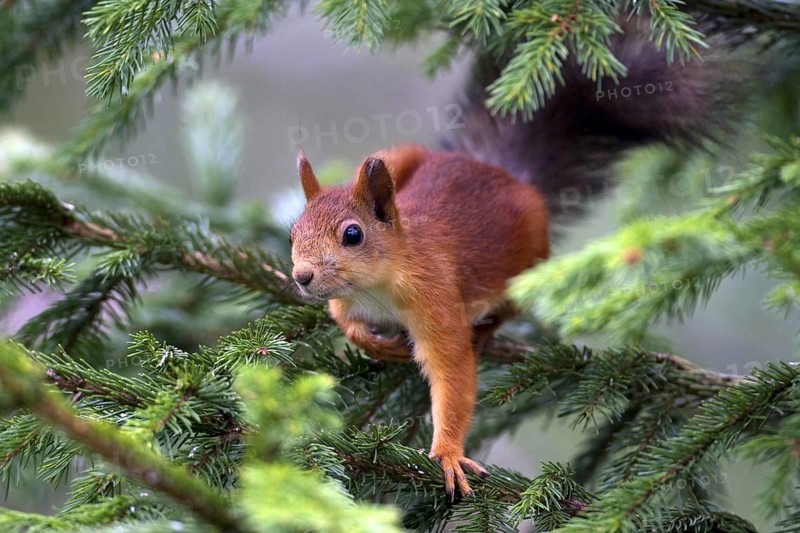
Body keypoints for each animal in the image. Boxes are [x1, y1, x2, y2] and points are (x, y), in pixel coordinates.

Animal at [289, 23, 746, 499]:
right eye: (293, 231)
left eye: (352, 235)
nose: (301, 276)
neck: (378, 285)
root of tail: (505, 175)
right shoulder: (345, 300)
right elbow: (345, 322)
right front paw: (375, 342)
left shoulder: (435, 299)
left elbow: (452, 371)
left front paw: (448, 454)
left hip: (527, 259)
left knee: (510, 307)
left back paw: (486, 331)